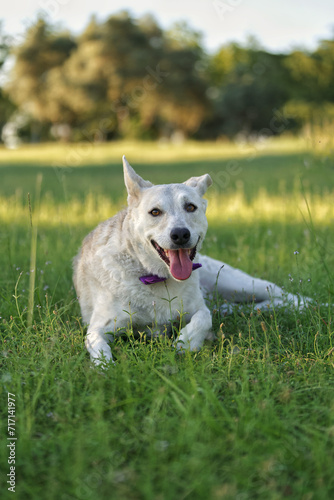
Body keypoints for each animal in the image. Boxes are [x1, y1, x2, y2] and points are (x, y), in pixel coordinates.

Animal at [73, 156, 310, 364]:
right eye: (155, 212)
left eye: (190, 207)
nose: (180, 234)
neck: (157, 277)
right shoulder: (98, 328)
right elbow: (101, 351)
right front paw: (105, 370)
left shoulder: (198, 308)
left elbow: (204, 317)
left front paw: (187, 342)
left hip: (238, 283)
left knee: (284, 295)